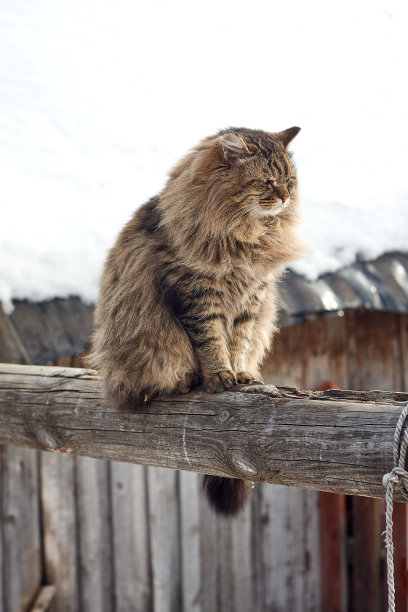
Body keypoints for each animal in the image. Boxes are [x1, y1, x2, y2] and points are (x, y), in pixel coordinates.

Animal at [90, 128, 306, 516]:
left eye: (290, 182)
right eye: (267, 182)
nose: (284, 196)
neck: (246, 233)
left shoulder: (252, 300)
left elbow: (239, 343)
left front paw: (241, 375)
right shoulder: (198, 296)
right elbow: (211, 343)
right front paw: (220, 377)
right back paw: (186, 380)